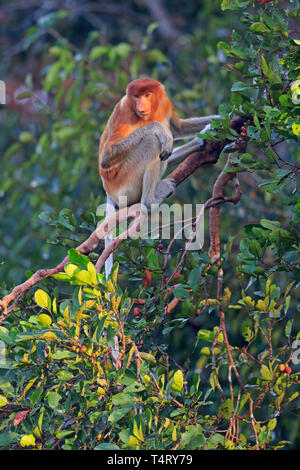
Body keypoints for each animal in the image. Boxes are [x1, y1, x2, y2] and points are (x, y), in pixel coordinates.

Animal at [99, 76, 219, 276]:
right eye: (136, 97)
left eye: (147, 95)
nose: (141, 105)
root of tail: (109, 191)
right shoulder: (124, 111)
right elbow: (107, 157)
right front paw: (159, 129)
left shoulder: (164, 102)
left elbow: (178, 128)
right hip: (124, 182)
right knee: (151, 141)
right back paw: (152, 199)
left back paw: (198, 142)